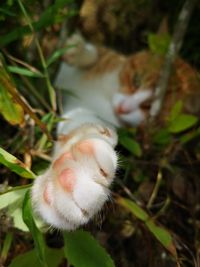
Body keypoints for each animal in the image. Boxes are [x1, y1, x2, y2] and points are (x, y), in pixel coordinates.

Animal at [30, 33, 198, 230]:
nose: (122, 108)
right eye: (136, 80)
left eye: (149, 108)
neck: (108, 96)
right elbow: (96, 54)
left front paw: (76, 175)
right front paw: (79, 51)